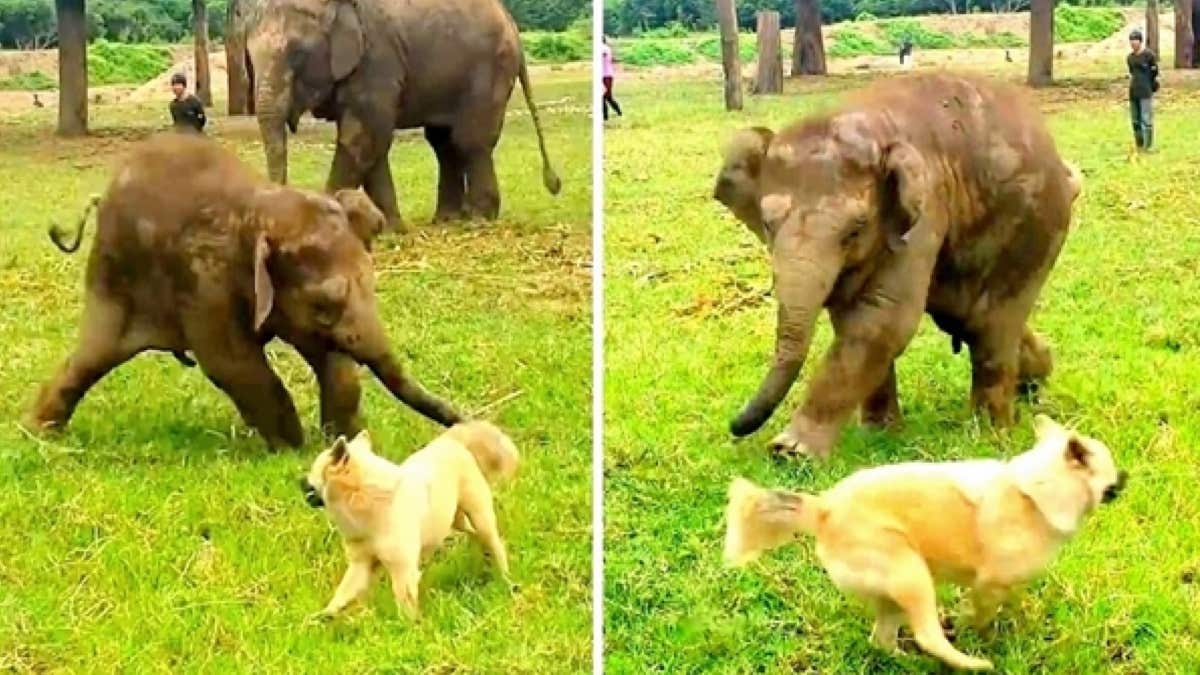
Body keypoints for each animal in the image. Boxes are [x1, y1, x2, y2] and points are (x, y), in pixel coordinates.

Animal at [29, 131, 458, 446]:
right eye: (323, 305)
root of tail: (102, 197)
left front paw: (344, 441)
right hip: (113, 274)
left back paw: (39, 430)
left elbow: (329, 359)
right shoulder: (204, 279)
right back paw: (39, 434)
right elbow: (231, 361)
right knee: (95, 352)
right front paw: (292, 447)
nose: (463, 419)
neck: (262, 210)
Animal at [247, 0, 561, 229]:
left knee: (469, 141)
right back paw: (447, 220)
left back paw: (478, 220)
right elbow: (371, 143)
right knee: (444, 143)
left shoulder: (377, 59)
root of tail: (512, 23)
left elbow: (362, 136)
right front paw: (391, 229)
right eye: (249, 57)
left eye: (298, 53)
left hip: (490, 70)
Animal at [710, 73, 1089, 458]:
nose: (734, 425)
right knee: (969, 320)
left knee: (991, 326)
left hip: (1035, 229)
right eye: (768, 224)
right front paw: (878, 436)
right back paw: (1034, 380)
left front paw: (790, 452)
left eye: (855, 230)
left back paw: (989, 436)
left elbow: (882, 319)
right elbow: (855, 316)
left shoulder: (925, 210)